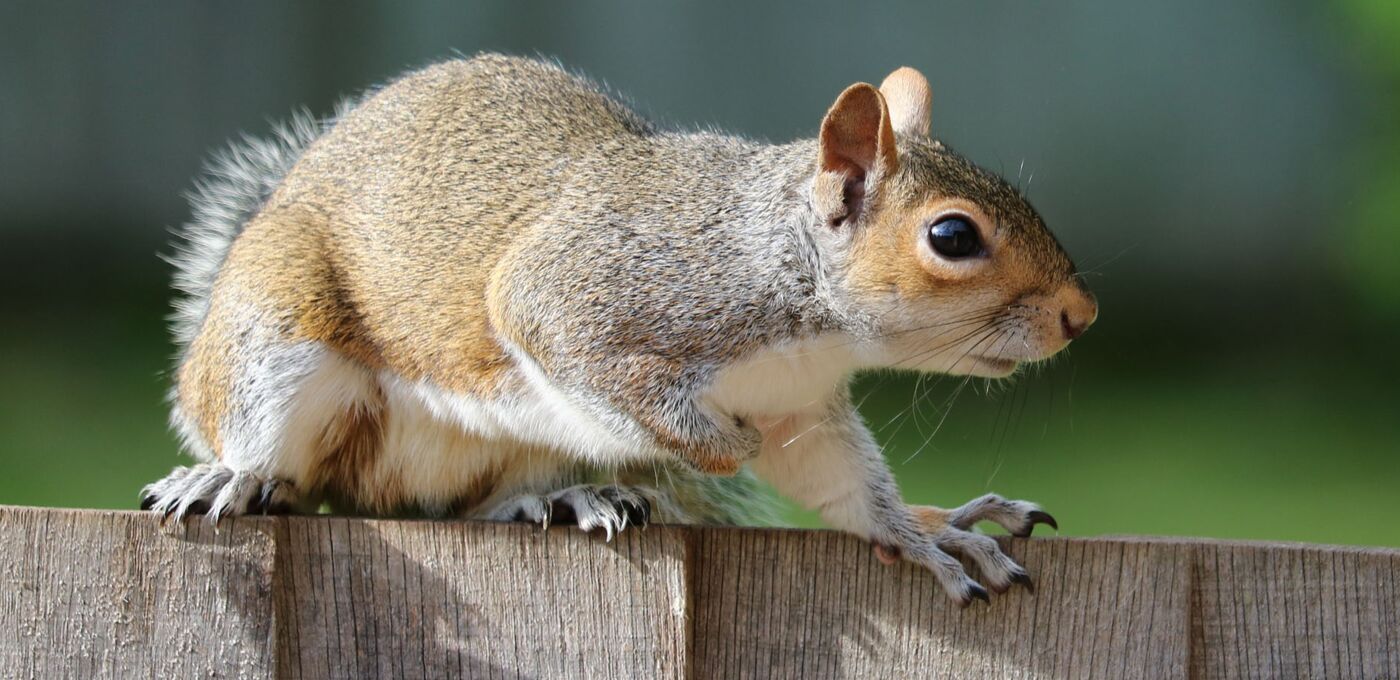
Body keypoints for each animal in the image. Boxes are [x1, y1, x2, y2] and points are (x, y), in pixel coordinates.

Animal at [147, 54, 1097, 604]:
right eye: (952, 237)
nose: (1079, 316)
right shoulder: (585, 295)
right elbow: (590, 360)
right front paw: (719, 445)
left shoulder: (800, 408)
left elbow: (842, 485)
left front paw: (927, 533)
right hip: (276, 337)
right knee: (275, 451)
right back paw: (230, 477)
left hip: (508, 452)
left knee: (467, 505)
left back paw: (562, 497)